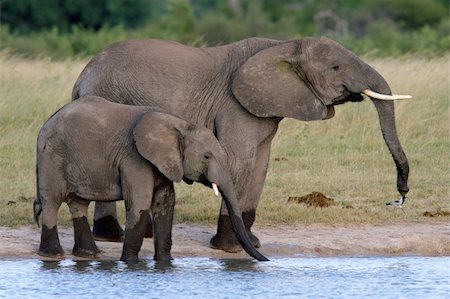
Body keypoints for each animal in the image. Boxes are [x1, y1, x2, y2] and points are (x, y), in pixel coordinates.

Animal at [36, 96, 268, 262]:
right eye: (207, 156)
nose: (266, 260)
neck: (181, 125)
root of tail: (46, 123)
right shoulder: (134, 158)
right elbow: (139, 202)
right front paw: (129, 263)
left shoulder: (164, 162)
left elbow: (165, 203)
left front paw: (165, 263)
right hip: (52, 157)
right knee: (52, 202)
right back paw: (53, 256)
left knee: (79, 204)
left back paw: (89, 255)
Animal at [71, 37, 412, 253]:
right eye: (336, 68)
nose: (401, 195)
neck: (284, 45)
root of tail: (82, 76)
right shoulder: (235, 105)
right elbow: (239, 162)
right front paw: (231, 248)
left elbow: (260, 165)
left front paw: (253, 243)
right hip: (109, 100)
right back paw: (112, 236)